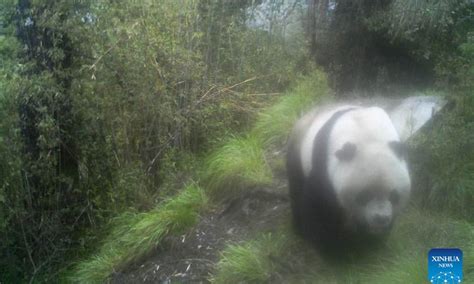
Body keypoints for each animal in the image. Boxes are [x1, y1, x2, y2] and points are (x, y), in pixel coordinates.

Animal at [286, 105, 412, 250]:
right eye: (364, 196)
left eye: (393, 195)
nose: (380, 218)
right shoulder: (323, 162)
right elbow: (319, 206)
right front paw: (335, 248)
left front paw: (371, 242)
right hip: (298, 155)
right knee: (296, 187)